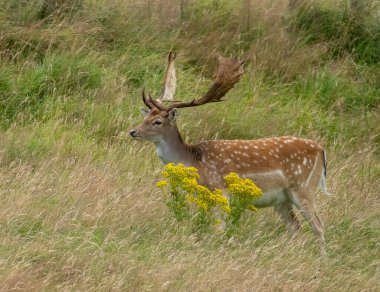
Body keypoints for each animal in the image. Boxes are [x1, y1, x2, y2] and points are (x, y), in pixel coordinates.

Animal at [130, 52, 330, 253]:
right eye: (145, 117)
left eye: (157, 121)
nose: (133, 131)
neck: (197, 162)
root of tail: (321, 150)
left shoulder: (221, 189)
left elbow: (220, 228)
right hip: (282, 199)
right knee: (295, 226)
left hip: (303, 188)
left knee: (318, 226)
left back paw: (322, 257)